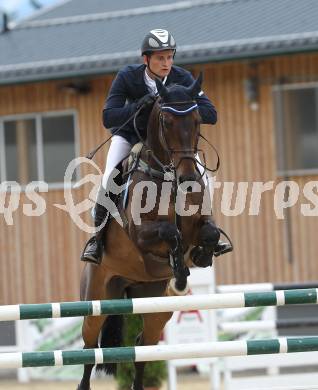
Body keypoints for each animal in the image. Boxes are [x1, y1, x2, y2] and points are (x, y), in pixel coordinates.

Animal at [77, 74, 221, 390]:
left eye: (197, 120)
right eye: (166, 122)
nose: (188, 177)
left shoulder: (201, 225)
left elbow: (209, 235)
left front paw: (198, 259)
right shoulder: (141, 234)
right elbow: (170, 233)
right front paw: (179, 271)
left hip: (154, 304)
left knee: (144, 345)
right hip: (97, 297)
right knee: (89, 346)